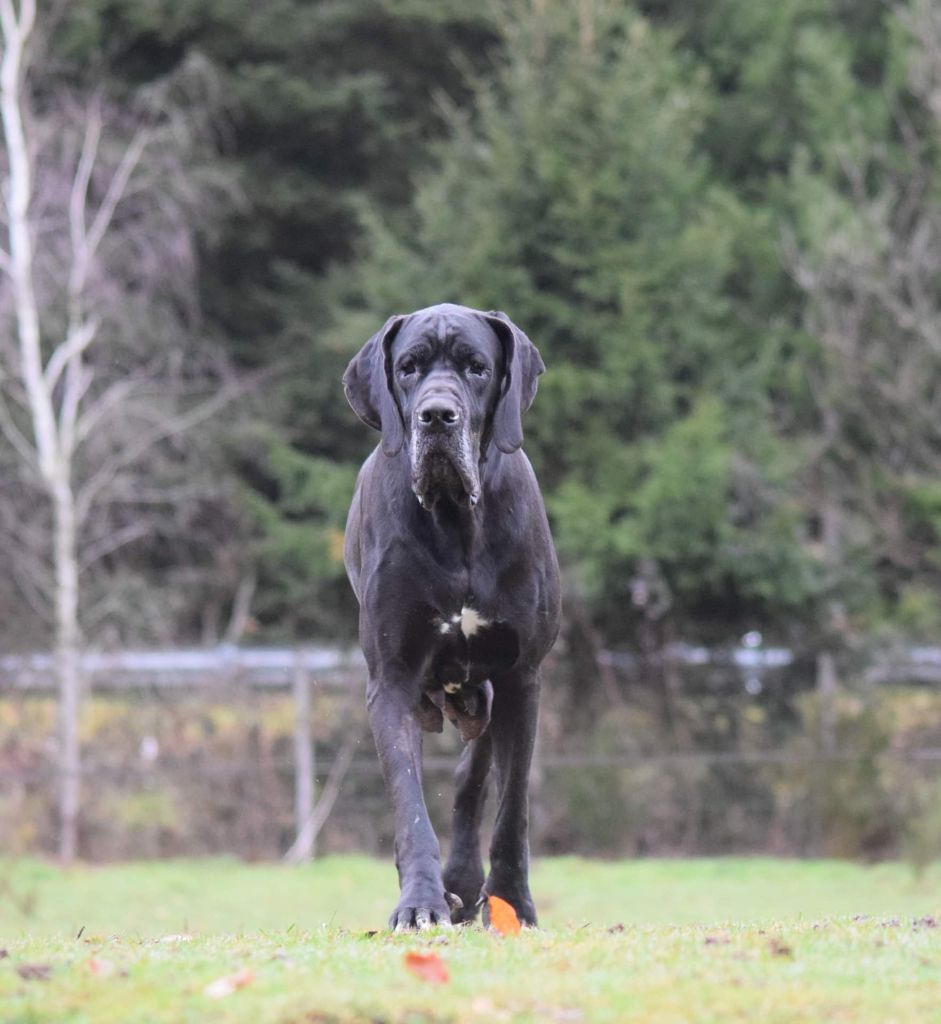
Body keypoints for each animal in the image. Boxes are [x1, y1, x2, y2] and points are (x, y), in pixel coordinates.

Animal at [344, 301, 561, 929]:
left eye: (477, 368)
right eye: (408, 368)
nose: (437, 416)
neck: (456, 518)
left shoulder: (521, 678)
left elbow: (512, 808)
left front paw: (514, 904)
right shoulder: (390, 681)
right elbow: (410, 807)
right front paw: (419, 903)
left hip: (485, 695)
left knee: (472, 781)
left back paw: (466, 880)